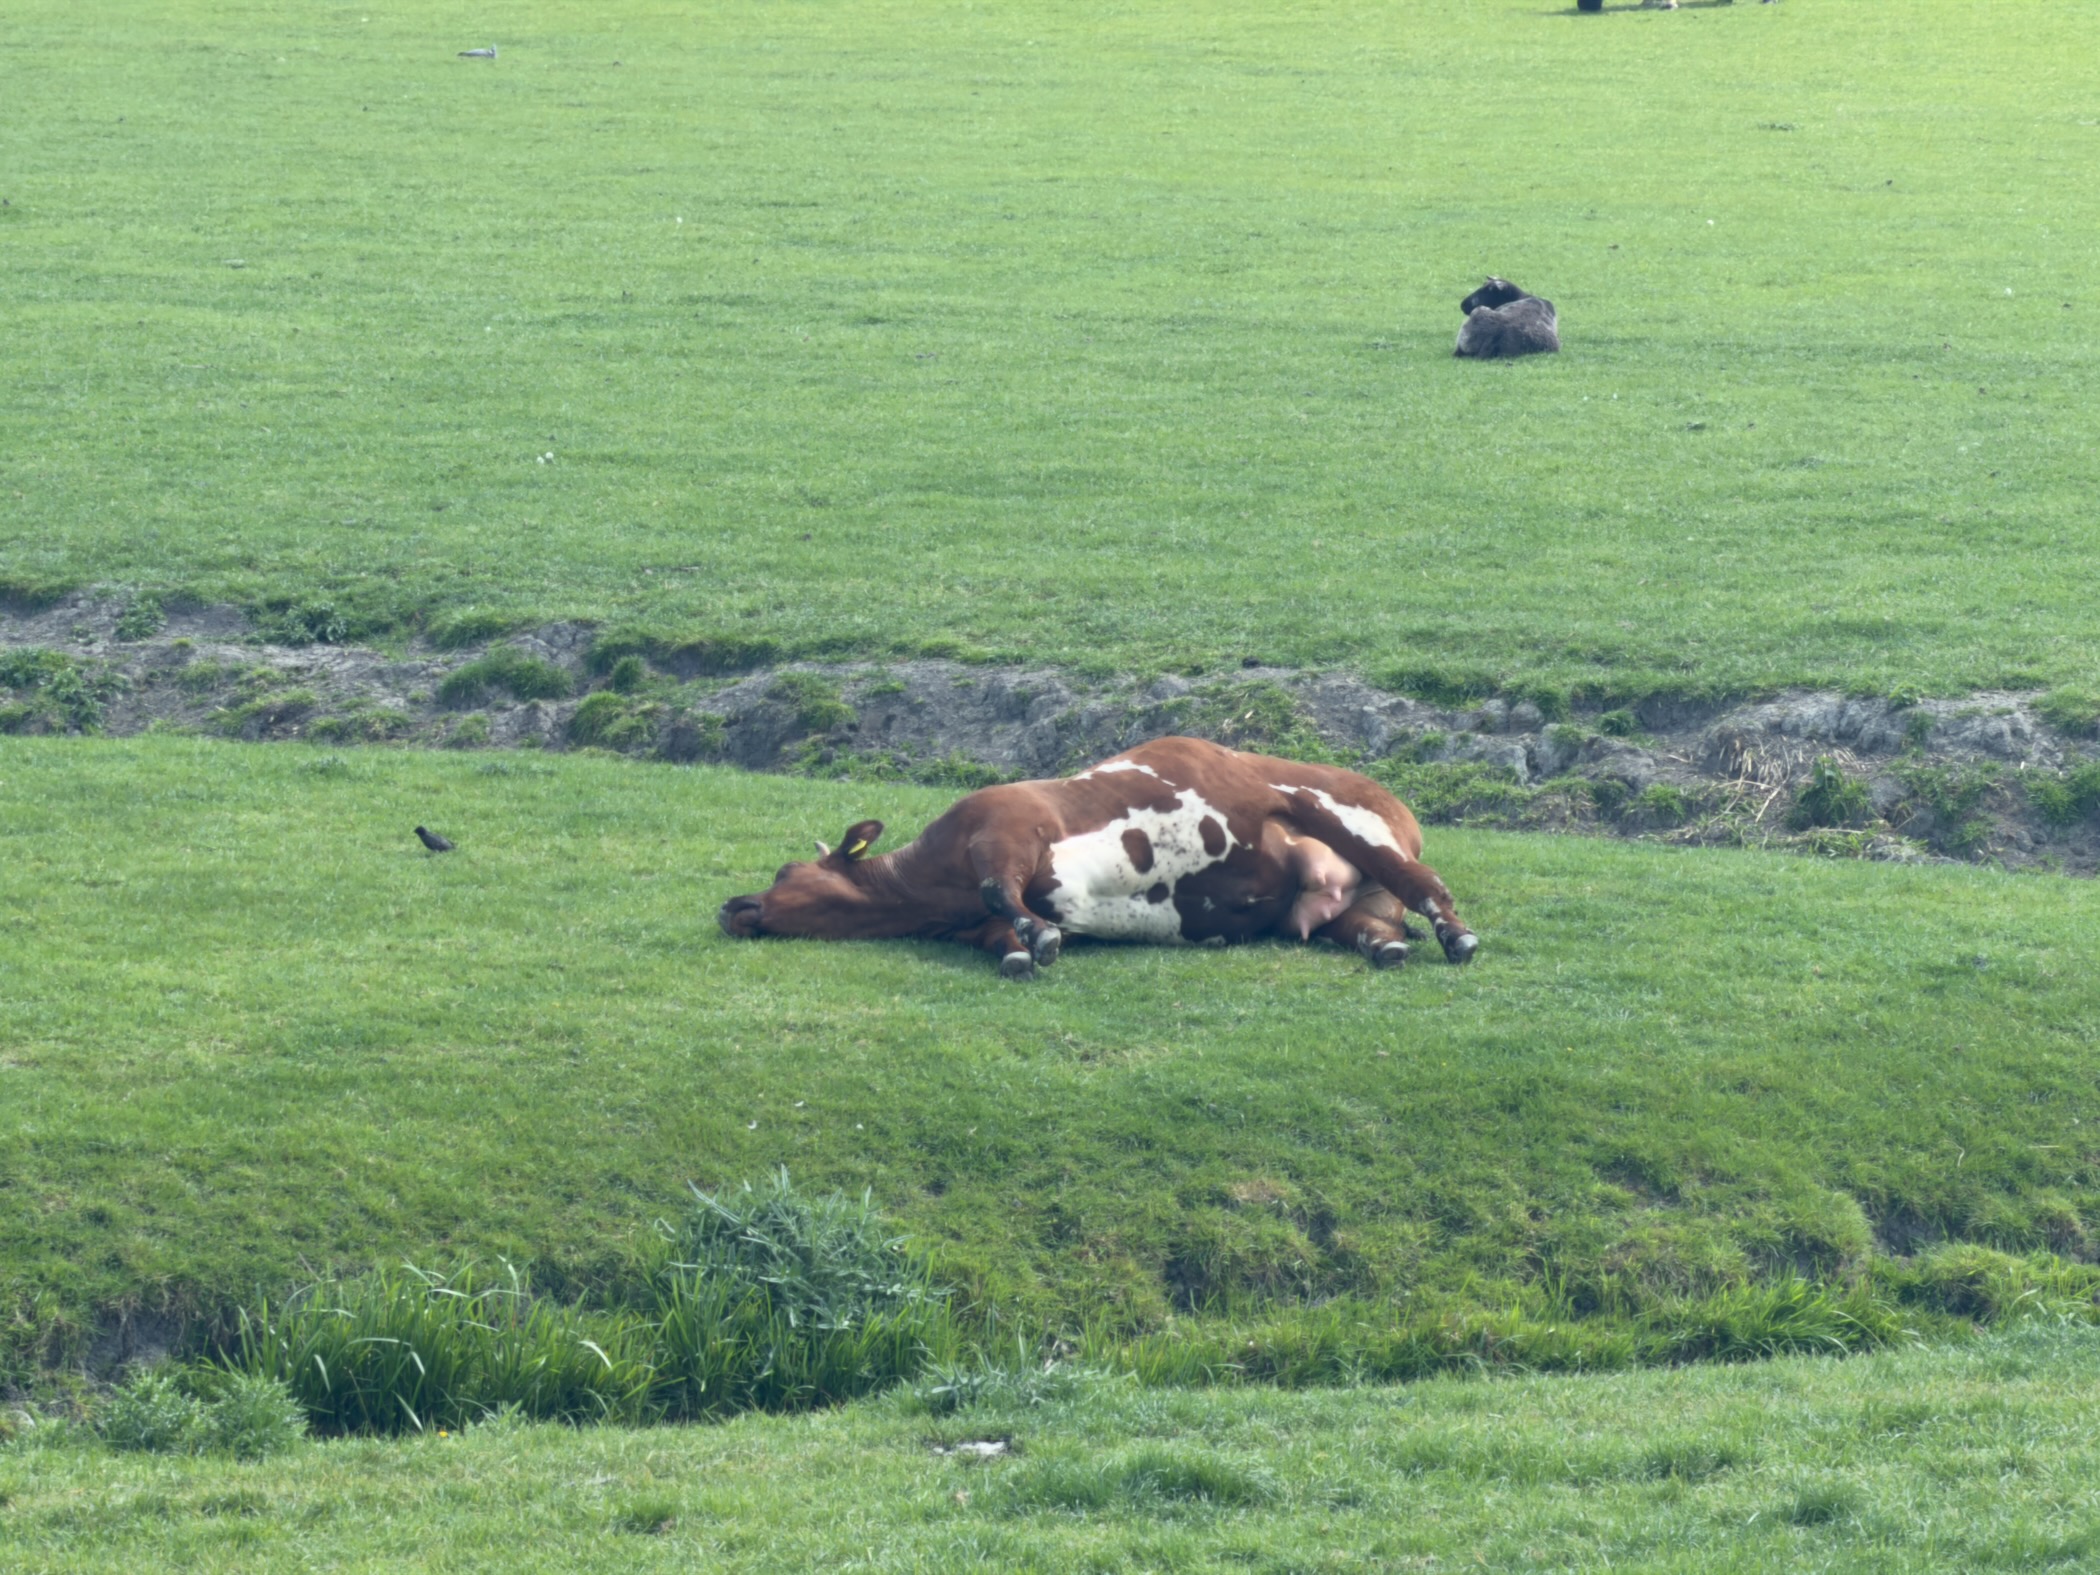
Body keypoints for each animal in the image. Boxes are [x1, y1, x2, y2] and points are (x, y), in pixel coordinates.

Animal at [718, 737, 1479, 980]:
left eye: (785, 872)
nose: (732, 905)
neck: (927, 888)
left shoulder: (1007, 828)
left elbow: (1001, 892)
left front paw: (1040, 934)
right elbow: (1000, 930)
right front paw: (1023, 947)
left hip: (1335, 814)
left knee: (1426, 885)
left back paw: (1456, 935)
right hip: (1344, 904)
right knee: (1369, 924)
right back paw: (1384, 947)